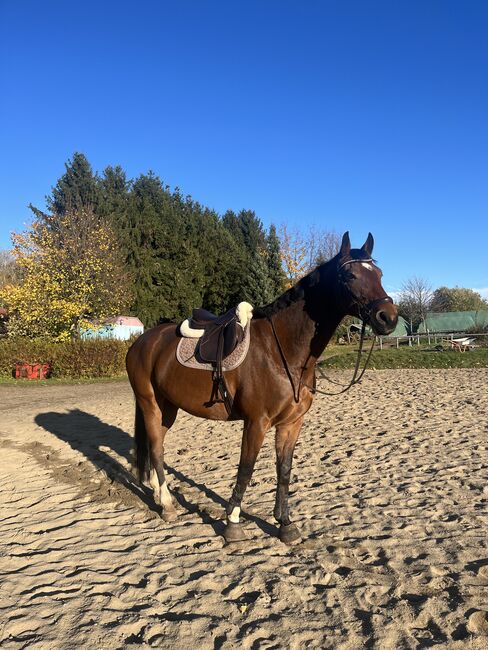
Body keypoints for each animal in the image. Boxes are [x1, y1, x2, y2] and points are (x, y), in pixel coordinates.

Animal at [125, 233, 396, 540]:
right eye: (350, 275)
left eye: (379, 274)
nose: (388, 317)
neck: (283, 352)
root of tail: (142, 341)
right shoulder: (256, 422)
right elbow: (246, 468)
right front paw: (232, 523)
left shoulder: (291, 423)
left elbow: (284, 470)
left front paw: (285, 524)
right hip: (150, 404)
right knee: (157, 449)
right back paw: (168, 506)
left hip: (168, 407)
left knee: (156, 446)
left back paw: (159, 495)